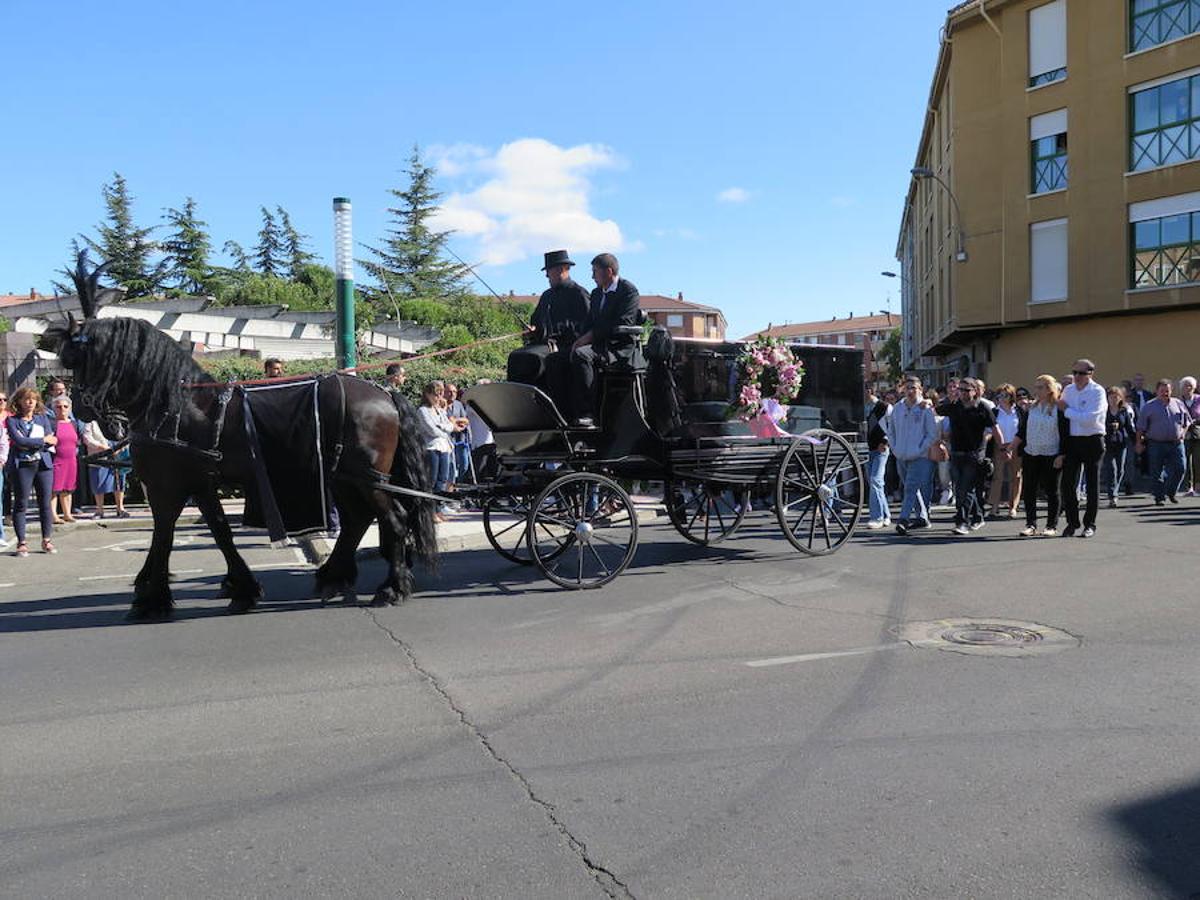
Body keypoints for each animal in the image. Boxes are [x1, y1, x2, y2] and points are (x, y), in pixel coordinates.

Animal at [51, 254, 439, 619]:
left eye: (74, 359)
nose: (80, 408)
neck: (175, 406)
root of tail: (385, 392)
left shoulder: (167, 486)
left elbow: (164, 534)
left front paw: (152, 597)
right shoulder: (198, 484)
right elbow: (219, 530)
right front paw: (241, 587)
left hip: (366, 478)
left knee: (393, 520)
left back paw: (391, 588)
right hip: (344, 477)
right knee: (357, 521)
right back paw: (334, 577)